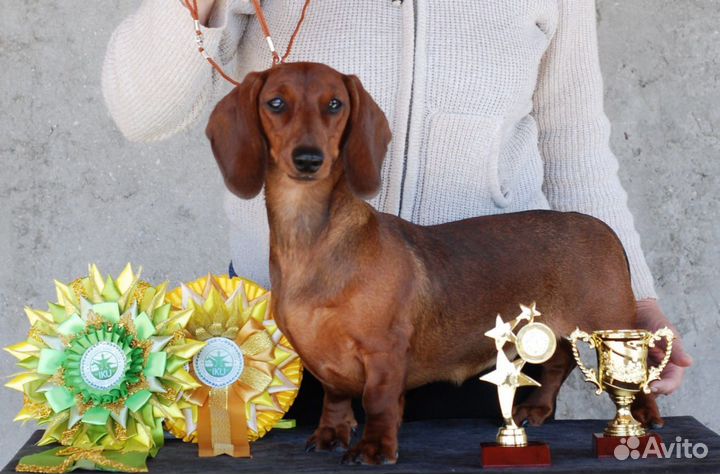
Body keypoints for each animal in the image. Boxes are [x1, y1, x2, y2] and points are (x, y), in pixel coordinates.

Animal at [205, 62, 660, 462]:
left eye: (334, 104)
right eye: (276, 103)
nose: (308, 158)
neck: (313, 240)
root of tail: (602, 227)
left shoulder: (384, 351)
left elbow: (379, 402)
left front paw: (375, 448)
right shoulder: (323, 360)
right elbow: (335, 398)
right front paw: (331, 434)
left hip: (609, 326)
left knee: (638, 376)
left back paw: (642, 420)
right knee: (558, 364)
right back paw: (536, 409)